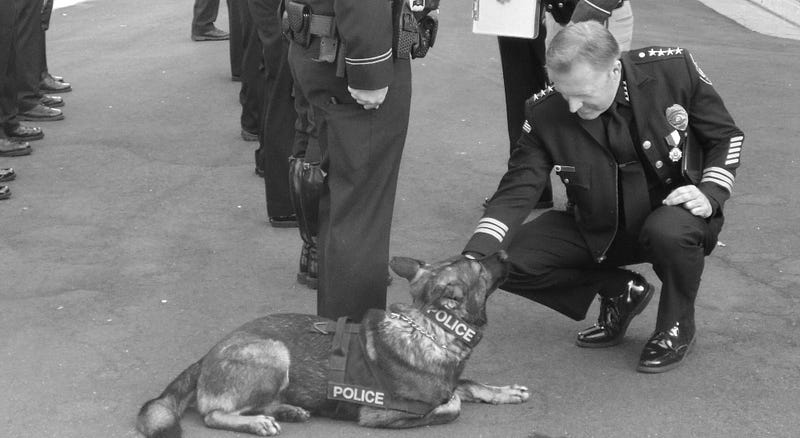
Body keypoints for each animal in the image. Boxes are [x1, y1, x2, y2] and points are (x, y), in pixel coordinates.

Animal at [134, 252, 528, 436]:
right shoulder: (380, 414)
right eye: (480, 268)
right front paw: (453, 402)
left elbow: (470, 384)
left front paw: (504, 391)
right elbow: (452, 405)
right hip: (275, 353)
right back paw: (258, 422)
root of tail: (206, 356)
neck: (431, 329)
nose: (505, 253)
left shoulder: (453, 378)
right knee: (213, 414)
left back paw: (285, 411)